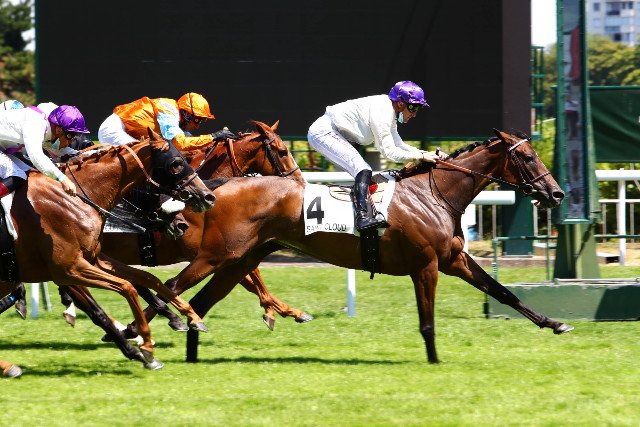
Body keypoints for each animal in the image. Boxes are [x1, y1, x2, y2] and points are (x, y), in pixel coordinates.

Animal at [0, 133, 215, 370]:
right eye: (176, 164)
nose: (207, 196)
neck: (73, 198)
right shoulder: (68, 270)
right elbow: (126, 288)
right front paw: (146, 346)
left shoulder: (91, 260)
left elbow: (144, 279)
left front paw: (190, 316)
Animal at [162, 129, 572, 364]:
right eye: (528, 157)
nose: (556, 193)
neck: (434, 193)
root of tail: (220, 187)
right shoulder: (426, 264)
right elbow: (427, 321)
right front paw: (434, 360)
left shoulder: (453, 258)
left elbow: (503, 292)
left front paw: (554, 323)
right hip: (218, 255)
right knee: (171, 287)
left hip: (240, 261)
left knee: (198, 302)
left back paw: (191, 352)